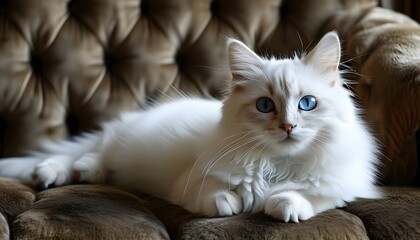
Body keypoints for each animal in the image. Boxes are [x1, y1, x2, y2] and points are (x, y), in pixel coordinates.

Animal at [0, 31, 380, 222]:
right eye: (265, 106)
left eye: (307, 104)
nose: (288, 126)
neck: (277, 165)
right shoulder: (194, 178)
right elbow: (215, 193)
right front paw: (231, 203)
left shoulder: (343, 185)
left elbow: (309, 195)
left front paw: (284, 204)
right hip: (118, 145)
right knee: (89, 153)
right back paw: (53, 173)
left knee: (93, 159)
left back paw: (81, 172)